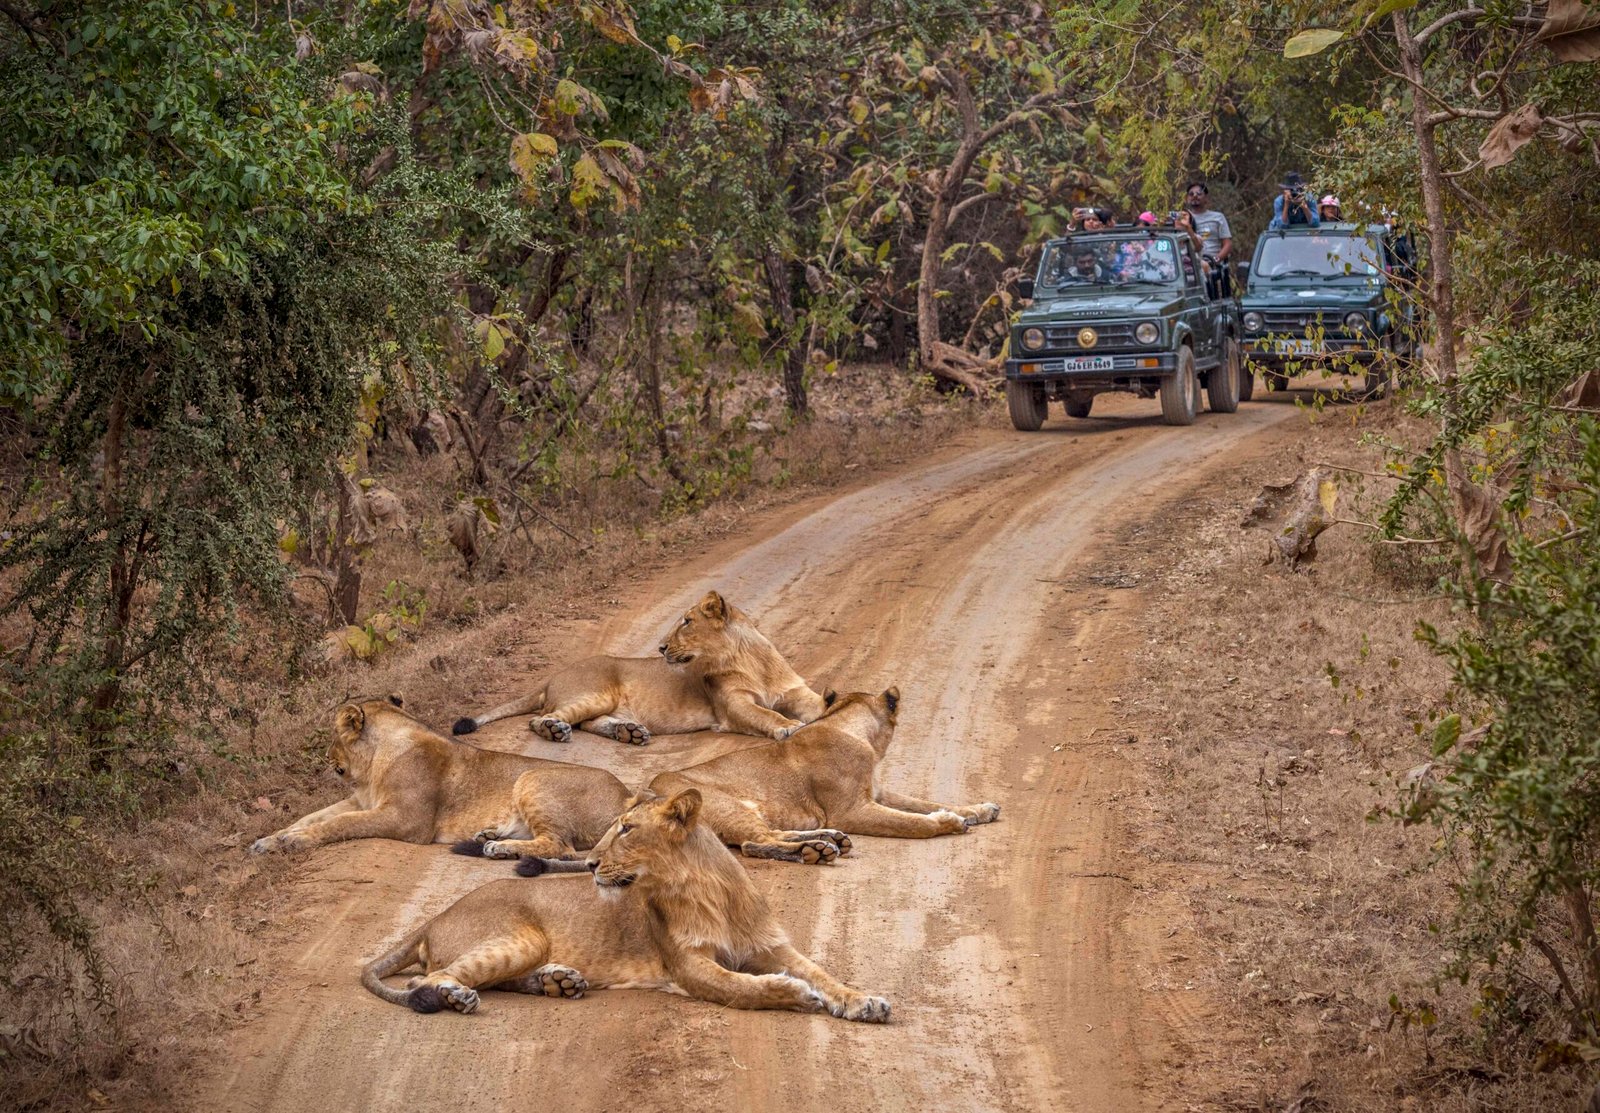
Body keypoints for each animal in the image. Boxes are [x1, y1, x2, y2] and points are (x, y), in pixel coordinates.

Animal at [249, 697, 630, 863]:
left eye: (333, 736)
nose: (326, 758)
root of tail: (627, 796)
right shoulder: (359, 800)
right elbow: (310, 817)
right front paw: (269, 840)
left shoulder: (405, 820)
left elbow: (339, 824)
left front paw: (291, 842)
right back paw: (489, 836)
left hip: (532, 776)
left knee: (560, 845)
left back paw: (498, 847)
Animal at [356, 786, 896, 1023]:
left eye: (627, 830)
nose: (592, 862)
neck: (703, 889)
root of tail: (433, 917)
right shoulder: (687, 966)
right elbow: (743, 987)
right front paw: (794, 993)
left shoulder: (771, 945)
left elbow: (824, 972)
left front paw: (862, 1000)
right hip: (517, 937)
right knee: (429, 981)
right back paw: (459, 998)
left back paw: (558, 982)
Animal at [451, 591, 825, 748]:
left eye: (686, 622)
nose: (660, 648)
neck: (750, 660)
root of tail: (551, 676)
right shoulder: (732, 706)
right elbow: (766, 715)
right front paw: (788, 727)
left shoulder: (796, 691)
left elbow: (819, 704)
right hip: (594, 693)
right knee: (543, 719)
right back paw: (556, 731)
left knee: (586, 722)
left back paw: (629, 733)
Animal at [640, 687, 998, 863]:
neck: (845, 724)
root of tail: (644, 793)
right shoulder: (853, 810)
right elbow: (912, 822)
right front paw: (949, 822)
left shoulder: (878, 794)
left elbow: (924, 802)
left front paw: (979, 810)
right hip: (727, 806)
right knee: (755, 843)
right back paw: (815, 851)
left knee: (768, 835)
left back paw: (829, 840)